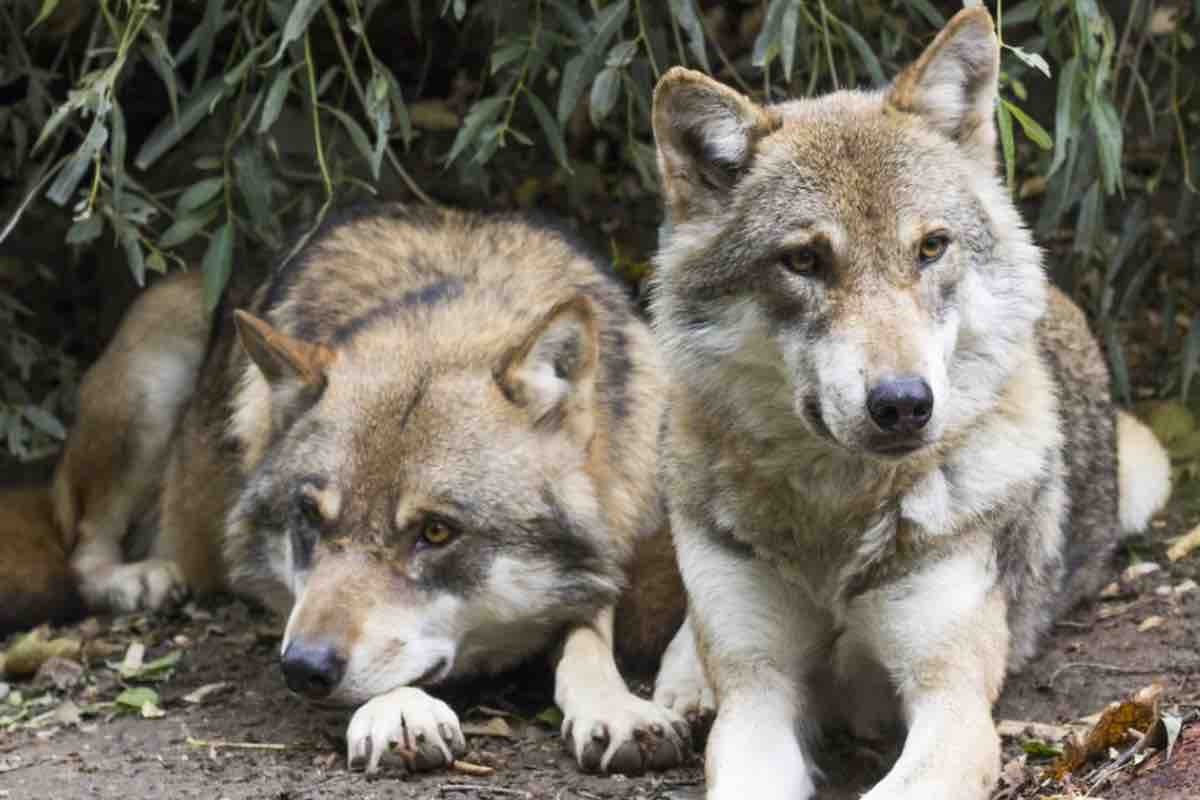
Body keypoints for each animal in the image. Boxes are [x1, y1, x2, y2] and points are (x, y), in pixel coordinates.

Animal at [2, 205, 696, 777]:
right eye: (309, 517)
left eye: (435, 531)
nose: (302, 669)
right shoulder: (292, 601)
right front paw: (400, 710)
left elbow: (591, 635)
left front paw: (617, 708)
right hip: (159, 353)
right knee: (80, 546)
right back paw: (139, 578)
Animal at [648, 7, 1171, 800]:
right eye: (804, 260)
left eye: (930, 247)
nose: (902, 404)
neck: (835, 519)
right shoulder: (758, 694)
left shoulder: (951, 703)